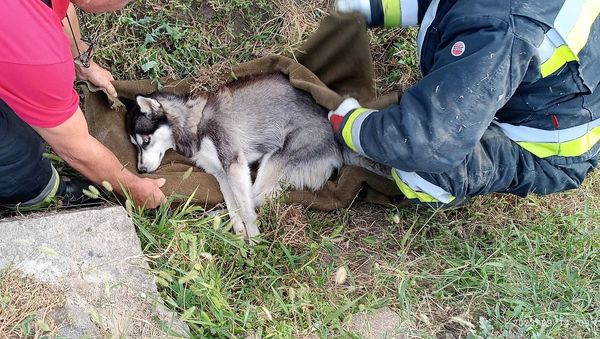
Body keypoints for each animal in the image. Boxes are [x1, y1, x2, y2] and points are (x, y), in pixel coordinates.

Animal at [126, 73, 390, 242]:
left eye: (146, 140)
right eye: (135, 145)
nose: (141, 170)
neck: (195, 122)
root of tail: (338, 142)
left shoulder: (234, 164)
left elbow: (243, 208)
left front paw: (253, 241)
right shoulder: (222, 174)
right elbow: (234, 207)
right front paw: (240, 234)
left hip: (274, 161)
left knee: (259, 197)